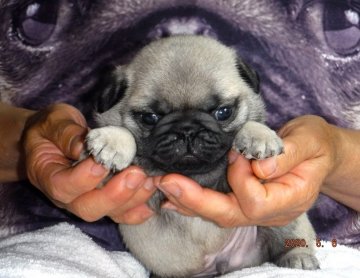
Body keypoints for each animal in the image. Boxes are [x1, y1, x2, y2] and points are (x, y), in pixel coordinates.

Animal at [86, 35, 318, 278]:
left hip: (283, 219)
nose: (187, 130)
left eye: (223, 112)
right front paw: (112, 140)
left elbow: (249, 127)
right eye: (150, 118)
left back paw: (299, 258)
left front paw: (258, 135)